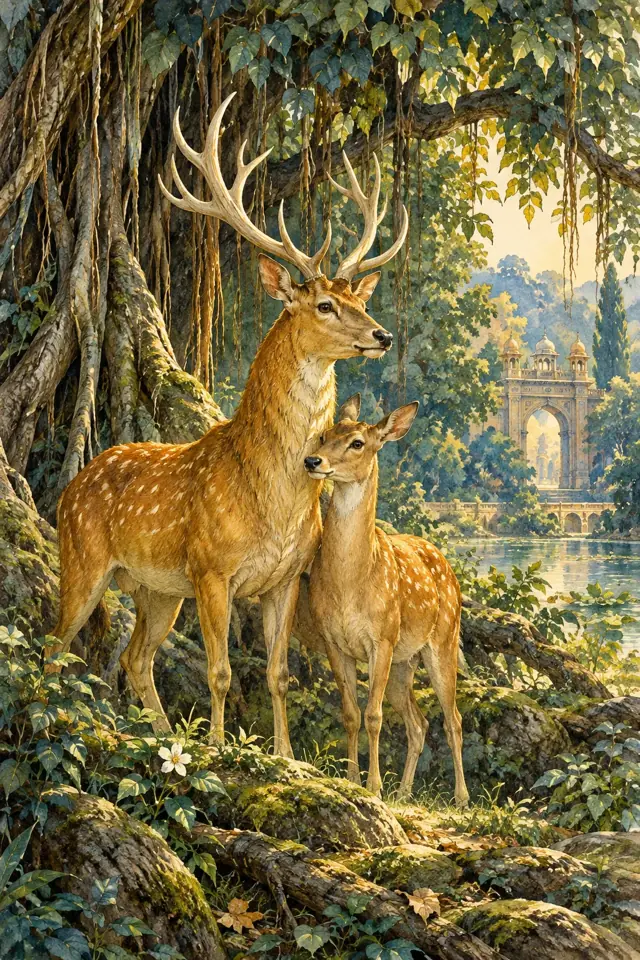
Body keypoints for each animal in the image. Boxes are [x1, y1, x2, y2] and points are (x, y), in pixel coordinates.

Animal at [52, 92, 408, 757]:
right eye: (325, 304)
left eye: (362, 299)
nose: (382, 335)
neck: (272, 498)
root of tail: (71, 485)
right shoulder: (211, 568)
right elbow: (219, 670)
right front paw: (219, 747)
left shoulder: (284, 579)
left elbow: (278, 673)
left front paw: (287, 756)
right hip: (83, 560)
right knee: (56, 645)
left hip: (157, 589)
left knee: (135, 658)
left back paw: (163, 733)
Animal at [296, 395, 469, 805]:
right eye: (325, 434)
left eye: (357, 443)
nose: (313, 461)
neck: (351, 583)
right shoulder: (334, 642)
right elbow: (350, 713)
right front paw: (352, 779)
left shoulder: (382, 638)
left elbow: (373, 716)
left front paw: (373, 785)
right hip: (405, 664)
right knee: (419, 723)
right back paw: (404, 793)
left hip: (442, 643)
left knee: (452, 719)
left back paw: (461, 797)